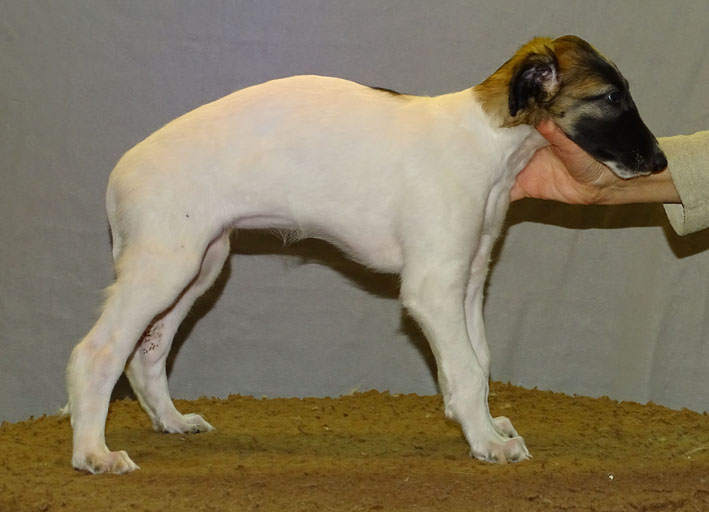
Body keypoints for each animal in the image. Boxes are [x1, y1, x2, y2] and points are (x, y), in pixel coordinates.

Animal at [65, 35, 667, 473]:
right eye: (611, 97)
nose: (661, 162)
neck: (488, 138)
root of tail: (121, 171)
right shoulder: (433, 288)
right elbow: (468, 371)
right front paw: (487, 442)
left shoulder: (469, 280)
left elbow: (479, 361)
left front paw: (487, 427)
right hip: (166, 264)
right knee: (98, 352)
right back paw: (93, 453)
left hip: (200, 264)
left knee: (147, 353)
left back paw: (169, 421)